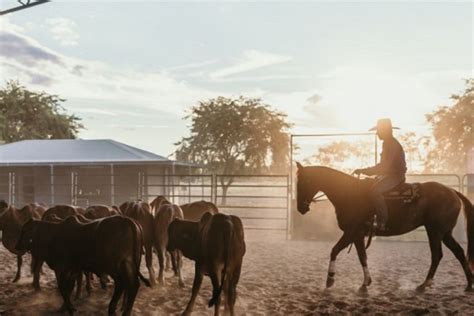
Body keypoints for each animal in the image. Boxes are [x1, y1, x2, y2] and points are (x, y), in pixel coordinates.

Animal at [296, 164, 474, 292]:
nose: (300, 208)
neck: (350, 193)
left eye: (304, 182)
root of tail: (452, 191)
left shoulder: (352, 232)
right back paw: (468, 285)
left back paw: (425, 284)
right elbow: (362, 257)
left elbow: (334, 250)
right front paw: (365, 283)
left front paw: (330, 280)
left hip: (435, 231)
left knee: (437, 255)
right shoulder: (358, 235)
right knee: (458, 252)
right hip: (445, 233)